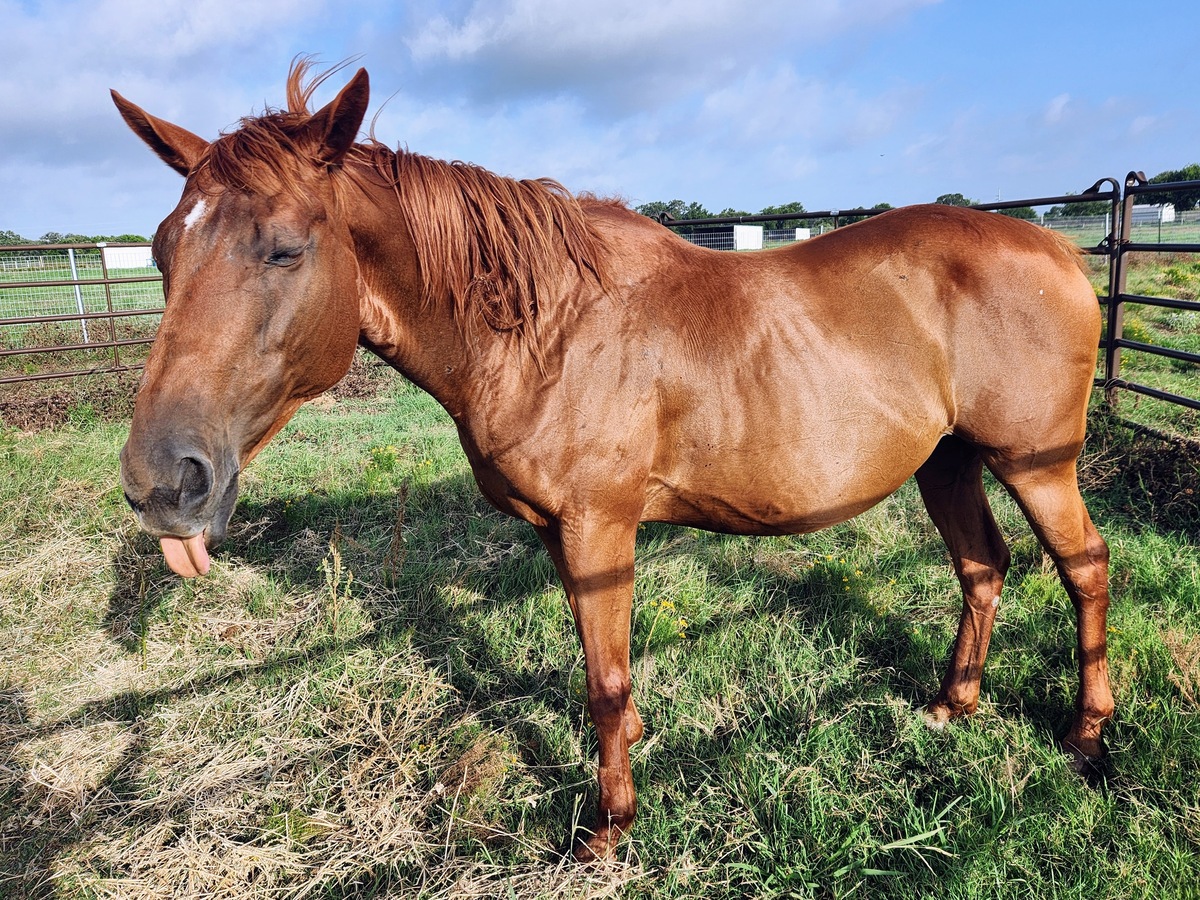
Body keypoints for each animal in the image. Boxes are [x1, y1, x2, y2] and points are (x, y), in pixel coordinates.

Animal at [112, 62, 1114, 860]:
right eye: (161, 250)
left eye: (285, 248)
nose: (164, 482)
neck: (544, 329)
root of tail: (1061, 248)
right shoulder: (562, 535)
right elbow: (604, 669)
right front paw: (630, 753)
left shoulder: (599, 527)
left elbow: (604, 679)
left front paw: (608, 826)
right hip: (947, 461)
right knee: (983, 567)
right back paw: (954, 704)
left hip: (1034, 463)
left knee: (1085, 567)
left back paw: (1087, 733)